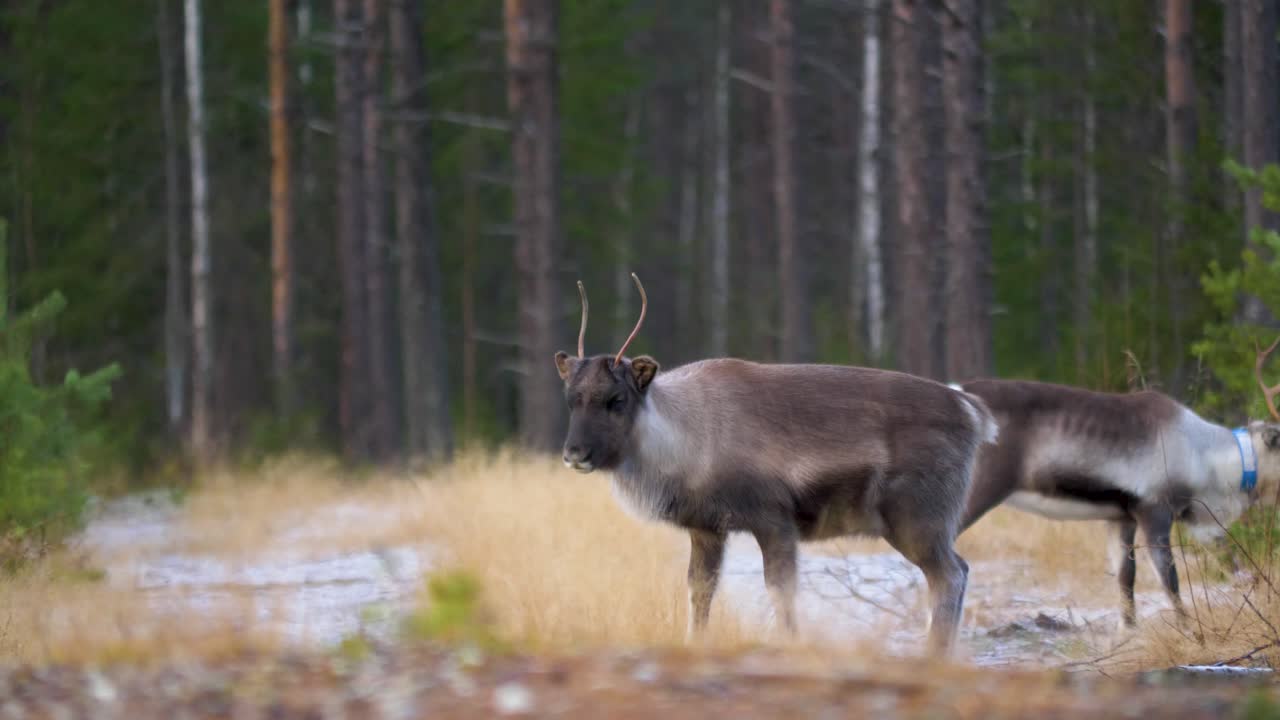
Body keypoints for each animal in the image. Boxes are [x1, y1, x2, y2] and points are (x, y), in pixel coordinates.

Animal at [554, 274, 1000, 655]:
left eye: (617, 399)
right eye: (571, 398)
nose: (574, 454)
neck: (682, 441)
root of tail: (974, 412)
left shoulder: (773, 519)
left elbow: (780, 590)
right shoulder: (707, 527)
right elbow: (700, 590)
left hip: (918, 519)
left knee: (950, 575)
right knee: (959, 570)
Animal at [954, 337, 1280, 630]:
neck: (1205, 457)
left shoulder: (1121, 518)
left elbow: (1126, 579)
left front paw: (1129, 632)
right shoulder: (1155, 511)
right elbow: (1170, 581)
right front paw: (1191, 632)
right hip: (980, 490)